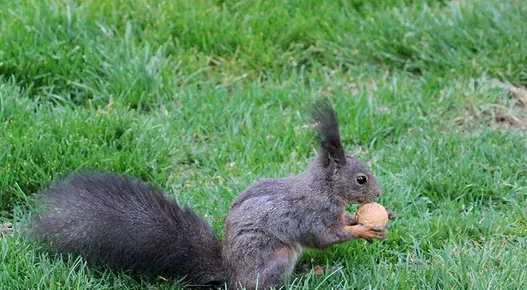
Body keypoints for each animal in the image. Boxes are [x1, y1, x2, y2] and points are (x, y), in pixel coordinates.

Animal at [28, 101, 392, 288]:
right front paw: (363, 228)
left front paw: (364, 218)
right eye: (361, 179)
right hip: (274, 258)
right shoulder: (312, 214)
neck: (324, 187)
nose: (378, 191)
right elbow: (324, 237)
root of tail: (230, 272)